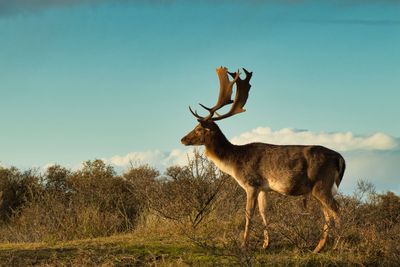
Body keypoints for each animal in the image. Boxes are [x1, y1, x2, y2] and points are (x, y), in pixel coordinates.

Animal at [180, 66, 344, 253]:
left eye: (199, 128)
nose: (182, 139)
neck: (234, 162)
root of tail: (340, 158)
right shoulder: (264, 188)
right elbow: (264, 212)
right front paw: (266, 244)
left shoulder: (251, 184)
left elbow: (248, 214)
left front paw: (244, 245)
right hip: (319, 189)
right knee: (328, 214)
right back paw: (318, 248)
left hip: (322, 184)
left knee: (337, 211)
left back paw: (338, 246)